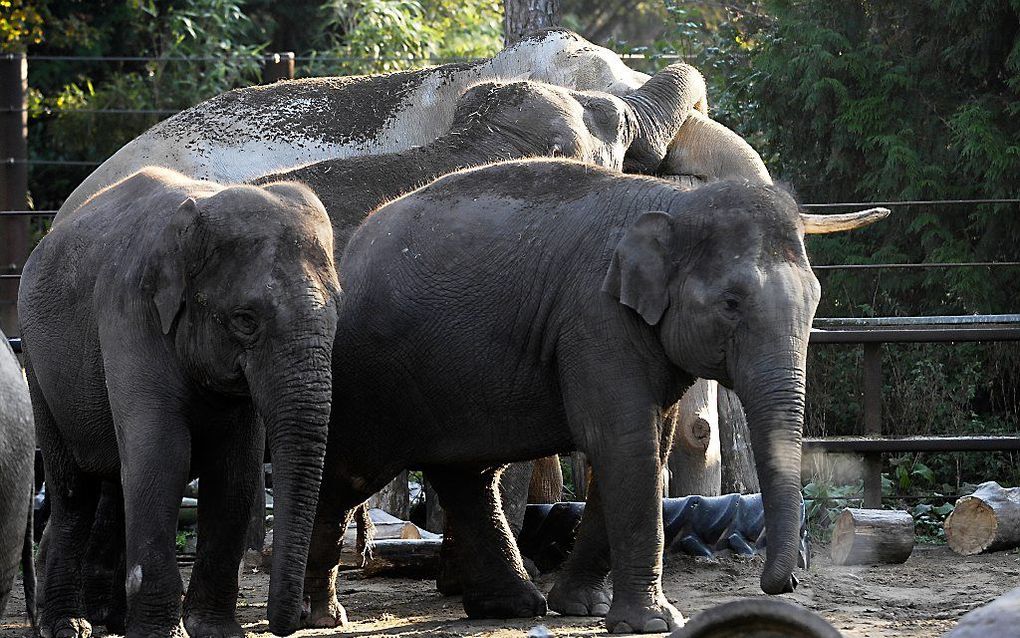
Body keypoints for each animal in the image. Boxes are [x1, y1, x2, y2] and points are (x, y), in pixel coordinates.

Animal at [16, 169, 342, 636]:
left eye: (338, 313)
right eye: (245, 320)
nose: (290, 620)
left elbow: (235, 470)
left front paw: (215, 630)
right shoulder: (129, 312)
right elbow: (163, 455)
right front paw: (160, 632)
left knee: (116, 486)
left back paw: (110, 619)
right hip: (40, 371)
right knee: (74, 491)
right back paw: (68, 625)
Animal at [301, 159, 885, 632]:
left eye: (816, 299)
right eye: (731, 303)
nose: (781, 584)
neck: (676, 204)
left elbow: (648, 442)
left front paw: (585, 608)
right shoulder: (595, 317)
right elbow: (622, 441)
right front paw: (654, 623)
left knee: (467, 474)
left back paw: (512, 607)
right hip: (372, 379)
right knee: (349, 471)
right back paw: (319, 616)